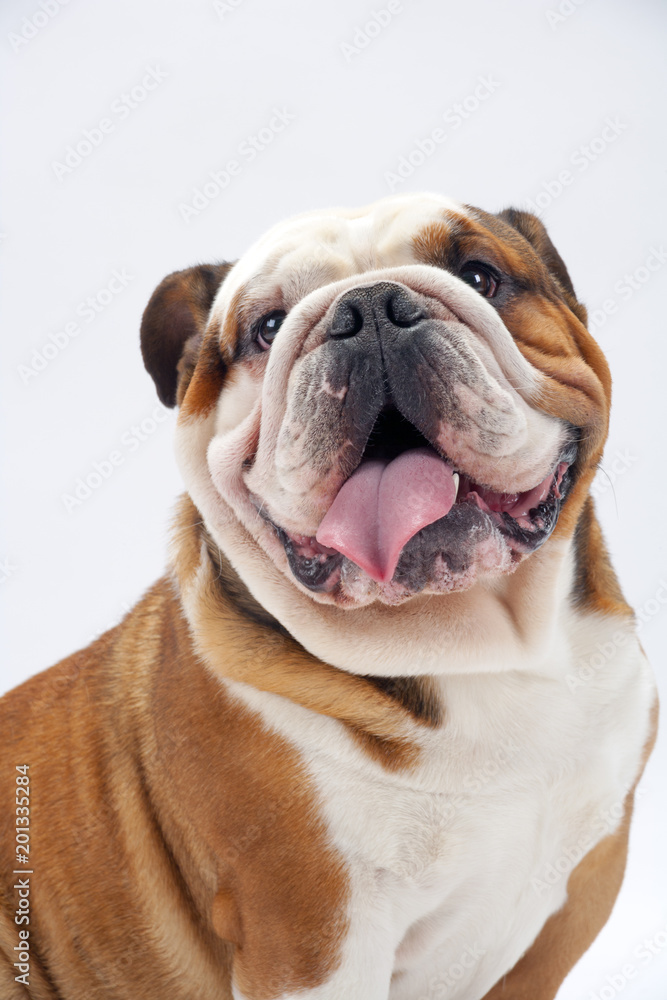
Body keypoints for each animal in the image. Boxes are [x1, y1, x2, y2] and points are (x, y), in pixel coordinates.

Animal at [0, 195, 656, 1000]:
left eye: (479, 274)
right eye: (267, 327)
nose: (370, 307)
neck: (472, 651)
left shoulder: (577, 895)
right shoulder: (312, 935)